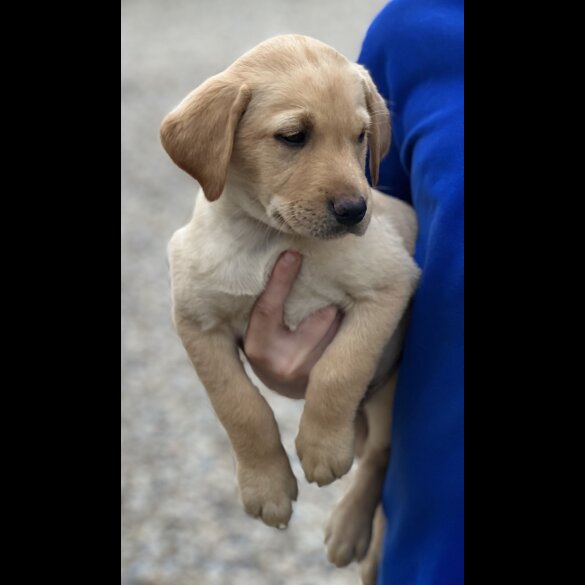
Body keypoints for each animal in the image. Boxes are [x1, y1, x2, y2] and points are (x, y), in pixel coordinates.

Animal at [160, 34, 420, 580]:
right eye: (294, 136)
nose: (356, 210)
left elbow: (339, 370)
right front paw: (267, 486)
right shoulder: (196, 323)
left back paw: (350, 530)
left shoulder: (391, 283)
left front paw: (321, 447)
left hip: (389, 391)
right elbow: (240, 407)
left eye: (360, 137)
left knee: (380, 454)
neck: (269, 240)